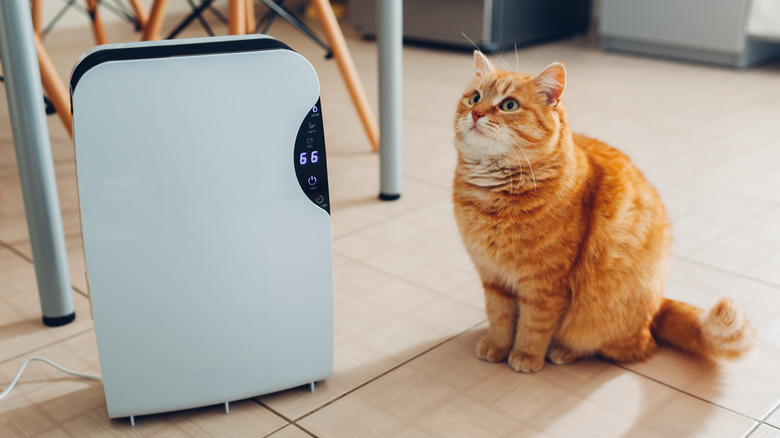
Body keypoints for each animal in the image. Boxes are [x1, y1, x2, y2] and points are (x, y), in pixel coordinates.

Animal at [454, 51, 752, 372]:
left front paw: (525, 355)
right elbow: (499, 317)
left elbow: (534, 326)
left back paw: (563, 351)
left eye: (509, 105)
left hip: (604, 316)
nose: (476, 113)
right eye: (474, 97)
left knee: (629, 348)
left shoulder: (545, 286)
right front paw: (496, 345)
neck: (492, 197)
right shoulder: (493, 277)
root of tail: (657, 305)